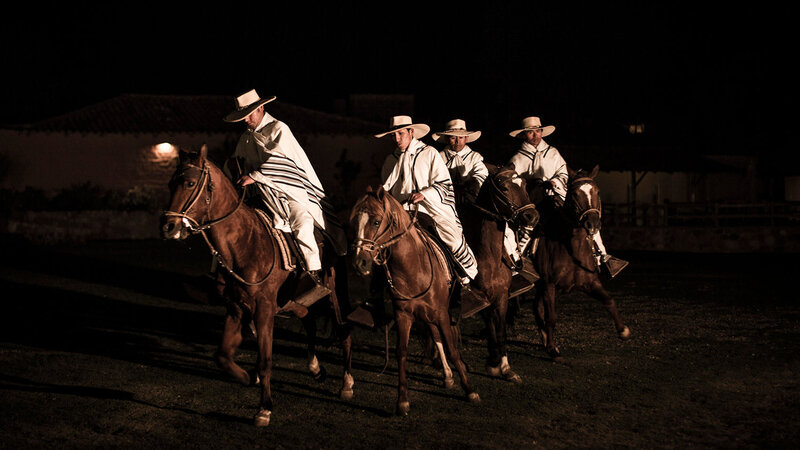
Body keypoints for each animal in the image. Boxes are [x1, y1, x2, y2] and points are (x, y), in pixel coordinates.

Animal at [159, 146, 354, 428]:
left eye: (190, 183)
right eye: (170, 183)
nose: (167, 227)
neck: (243, 244)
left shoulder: (263, 310)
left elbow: (265, 360)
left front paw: (264, 408)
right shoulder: (236, 308)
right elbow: (222, 356)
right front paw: (249, 378)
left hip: (332, 292)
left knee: (343, 331)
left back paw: (347, 383)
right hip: (295, 300)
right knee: (309, 320)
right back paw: (316, 369)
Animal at [350, 186, 482, 414]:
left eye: (376, 222)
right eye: (355, 221)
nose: (360, 263)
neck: (412, 267)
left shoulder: (441, 313)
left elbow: (453, 350)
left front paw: (470, 390)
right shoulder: (403, 316)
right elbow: (401, 352)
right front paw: (402, 400)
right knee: (435, 336)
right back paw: (447, 376)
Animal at [456, 165, 536, 384]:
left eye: (524, 184)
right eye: (505, 188)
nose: (532, 216)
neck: (488, 256)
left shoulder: (500, 297)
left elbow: (499, 331)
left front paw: (503, 367)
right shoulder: (482, 299)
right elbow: (492, 327)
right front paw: (495, 364)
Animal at [532, 163, 632, 360]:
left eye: (597, 192)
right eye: (574, 193)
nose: (592, 223)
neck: (571, 249)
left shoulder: (590, 283)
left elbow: (609, 300)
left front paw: (623, 330)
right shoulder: (549, 285)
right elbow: (551, 317)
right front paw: (553, 349)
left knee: (536, 308)